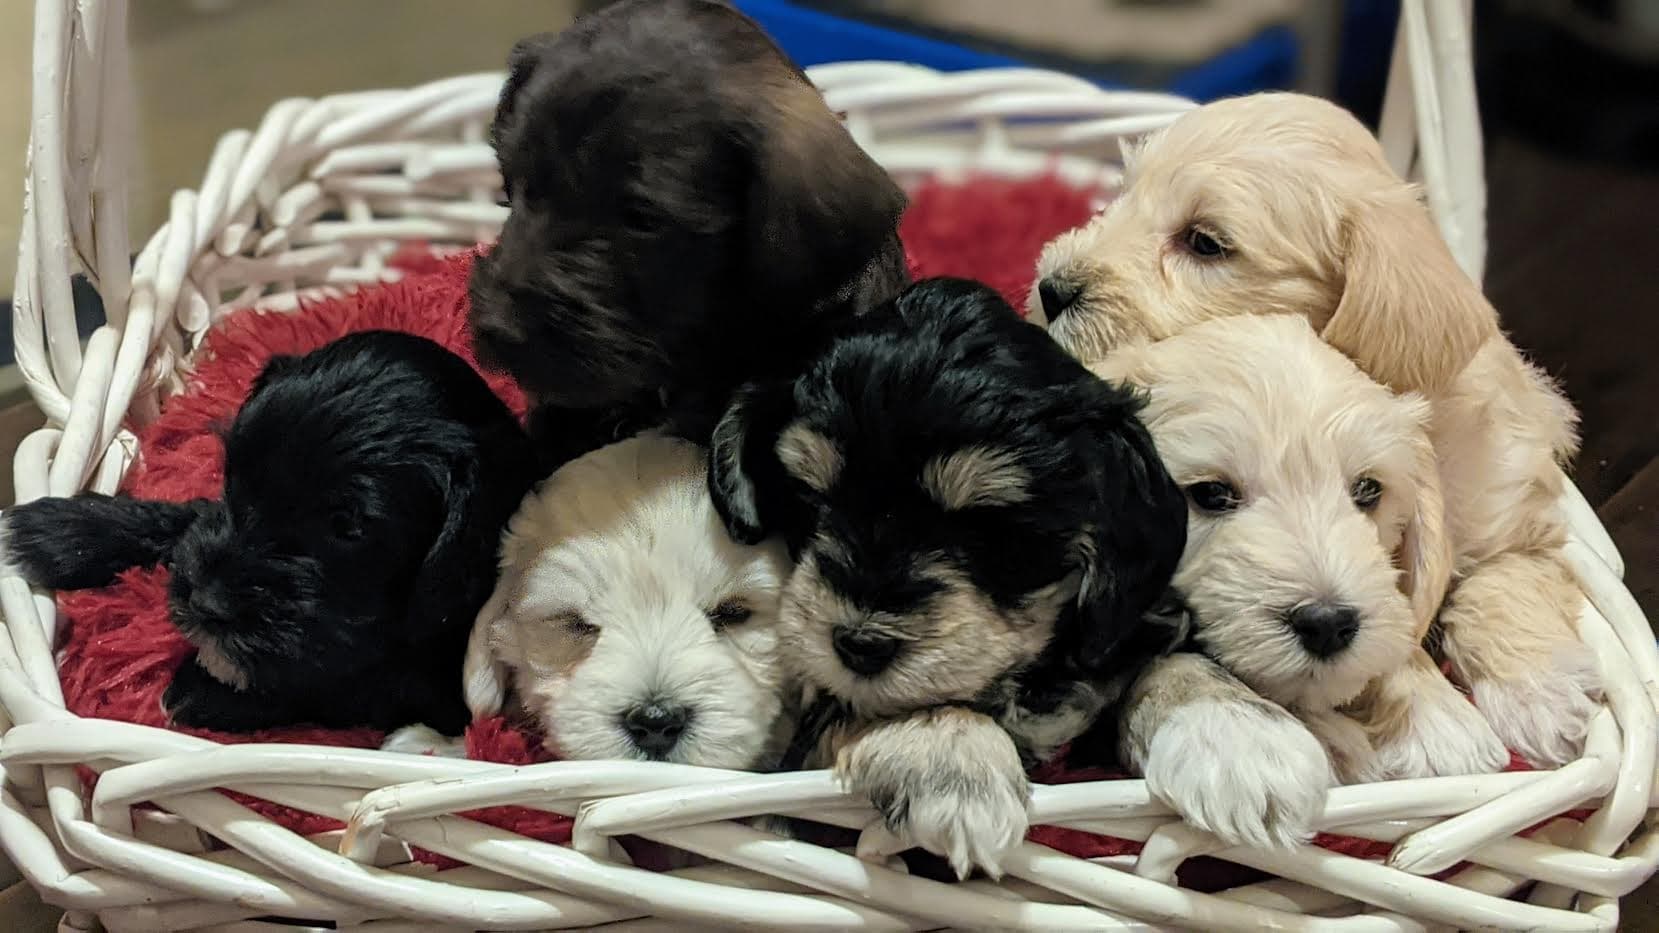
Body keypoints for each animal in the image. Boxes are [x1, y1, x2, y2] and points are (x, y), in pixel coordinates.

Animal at [0, 330, 537, 730]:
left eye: (348, 528)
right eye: (233, 475)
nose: (204, 601)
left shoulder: (436, 686)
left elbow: (349, 681)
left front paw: (207, 689)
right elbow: (190, 517)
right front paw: (63, 530)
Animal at [706, 277, 1187, 876]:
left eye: (986, 528)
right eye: (811, 501)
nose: (859, 645)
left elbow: (1170, 659)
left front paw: (1234, 734)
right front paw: (957, 762)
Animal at [1035, 90, 1592, 766]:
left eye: (1205, 242)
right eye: (1123, 197)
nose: (1050, 287)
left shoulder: (1511, 505)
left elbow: (1506, 578)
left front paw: (1542, 692)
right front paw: (1431, 712)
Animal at [1094, 310, 1513, 843]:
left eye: (1368, 490)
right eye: (1209, 494)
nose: (1328, 624)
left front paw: (1432, 709)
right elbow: (1165, 661)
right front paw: (1237, 736)